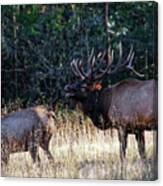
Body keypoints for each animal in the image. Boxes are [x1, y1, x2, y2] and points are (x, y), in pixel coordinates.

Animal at [65, 42, 158, 178]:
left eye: (84, 86)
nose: (66, 88)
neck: (105, 107)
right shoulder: (139, 129)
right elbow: (142, 153)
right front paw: (147, 172)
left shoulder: (122, 125)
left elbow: (122, 153)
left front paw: (121, 174)